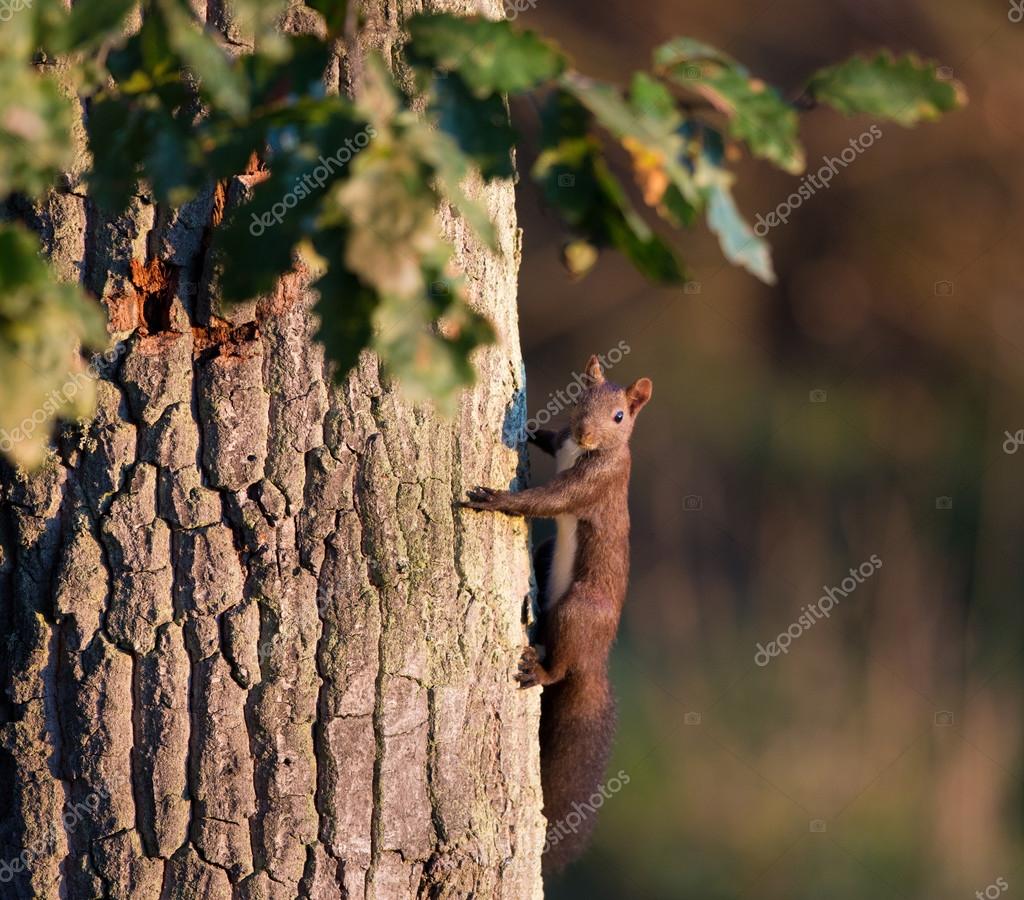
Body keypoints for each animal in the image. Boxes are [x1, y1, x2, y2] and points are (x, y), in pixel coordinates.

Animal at [461, 354, 652, 873]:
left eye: (619, 417)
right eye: (579, 399)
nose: (584, 433)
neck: (584, 452)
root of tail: (595, 660)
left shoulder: (594, 482)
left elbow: (549, 499)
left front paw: (499, 500)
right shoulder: (563, 443)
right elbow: (548, 439)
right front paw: (528, 428)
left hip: (580, 610)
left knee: (561, 665)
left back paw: (543, 669)